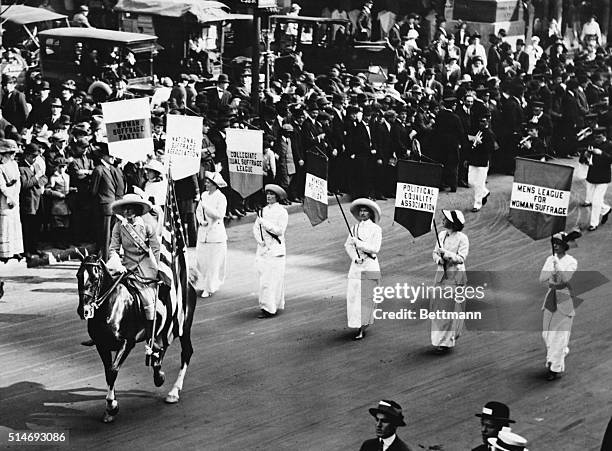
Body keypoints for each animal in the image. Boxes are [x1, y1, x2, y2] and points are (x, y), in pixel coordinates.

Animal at [75, 252, 197, 422]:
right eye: (78, 275)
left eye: (94, 277)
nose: (83, 310)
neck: (111, 306)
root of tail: (188, 284)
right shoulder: (101, 345)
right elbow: (108, 372)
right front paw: (110, 407)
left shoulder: (127, 343)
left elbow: (113, 371)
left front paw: (112, 406)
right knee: (160, 348)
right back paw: (158, 374)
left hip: (182, 327)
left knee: (185, 352)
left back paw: (174, 391)